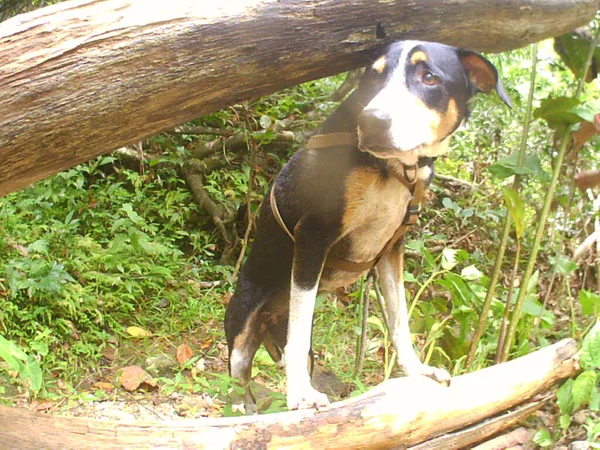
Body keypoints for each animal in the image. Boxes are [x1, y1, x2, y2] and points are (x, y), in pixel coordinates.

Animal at [225, 41, 510, 412]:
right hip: (241, 328)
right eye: (374, 76)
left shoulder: (392, 248)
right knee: (239, 377)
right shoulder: (312, 237)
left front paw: (418, 371)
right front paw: (301, 394)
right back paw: (241, 406)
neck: (394, 169)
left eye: (429, 77)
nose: (371, 121)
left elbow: (400, 318)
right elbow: (299, 333)